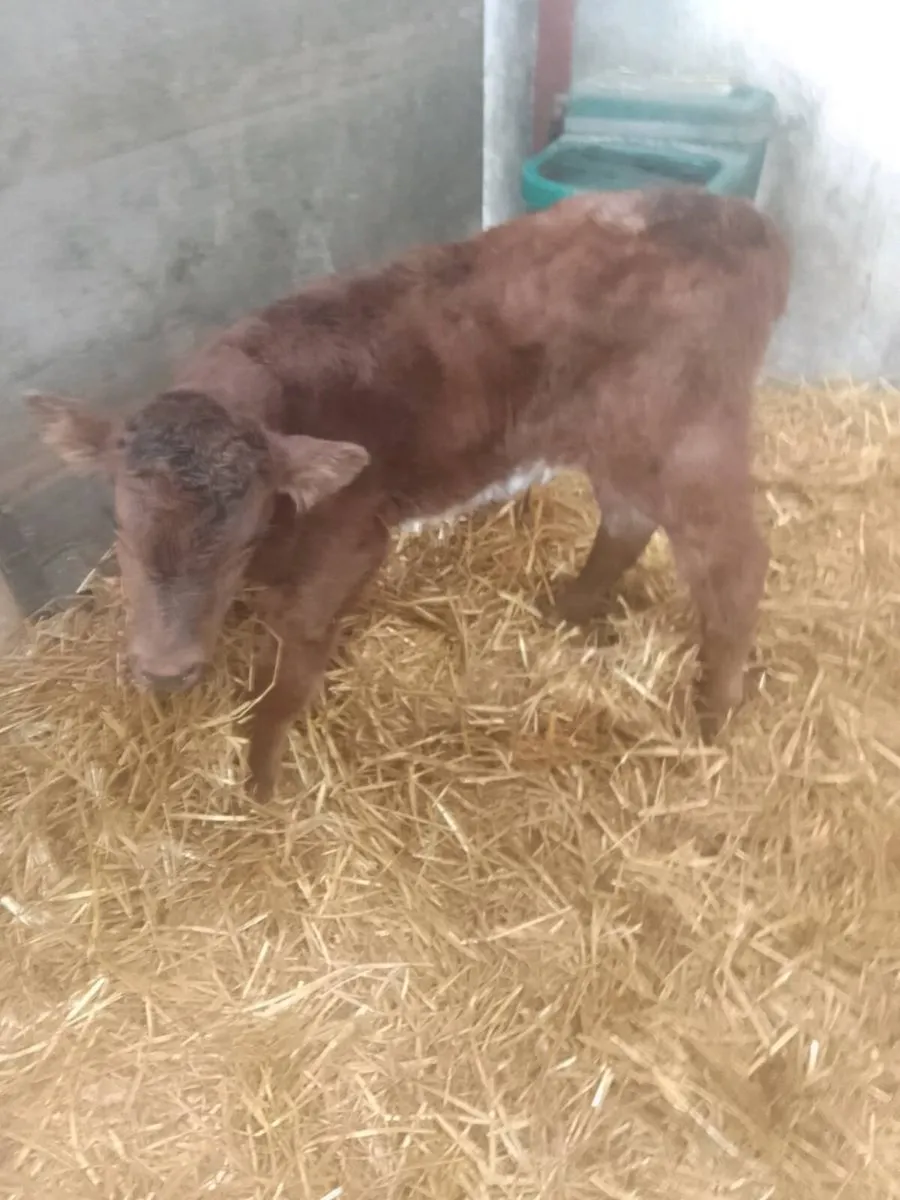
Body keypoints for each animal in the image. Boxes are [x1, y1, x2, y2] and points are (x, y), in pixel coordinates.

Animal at [28, 186, 790, 799]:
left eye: (239, 540)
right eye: (120, 529)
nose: (164, 672)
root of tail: (745, 219)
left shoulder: (353, 540)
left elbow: (294, 656)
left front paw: (262, 768)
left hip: (690, 439)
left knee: (734, 564)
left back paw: (713, 715)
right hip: (615, 441)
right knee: (630, 521)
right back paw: (570, 610)